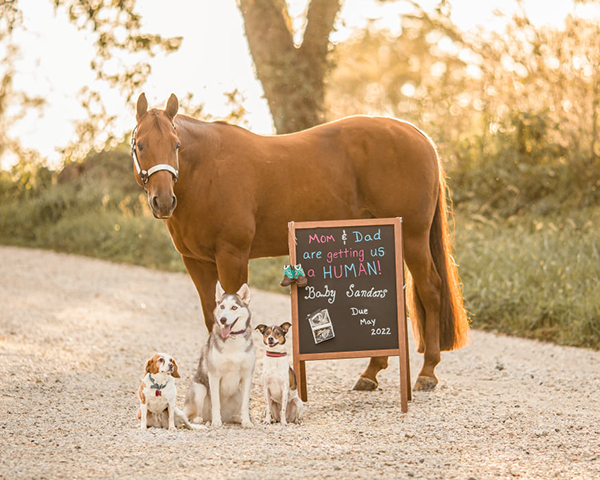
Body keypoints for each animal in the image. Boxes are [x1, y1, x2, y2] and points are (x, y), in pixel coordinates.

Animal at [131, 93, 468, 390]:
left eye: (176, 144)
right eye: (141, 144)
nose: (163, 201)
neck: (208, 168)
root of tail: (418, 135)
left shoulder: (231, 257)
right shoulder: (197, 263)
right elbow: (212, 318)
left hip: (412, 238)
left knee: (430, 290)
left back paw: (427, 373)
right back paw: (371, 372)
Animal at [185, 282, 255, 428]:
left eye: (234, 307)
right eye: (222, 306)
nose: (223, 319)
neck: (233, 338)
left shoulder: (247, 376)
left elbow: (245, 405)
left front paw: (246, 421)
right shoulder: (214, 376)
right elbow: (215, 402)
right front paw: (216, 421)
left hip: (237, 394)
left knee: (232, 414)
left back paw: (236, 418)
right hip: (199, 389)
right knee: (193, 414)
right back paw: (201, 419)